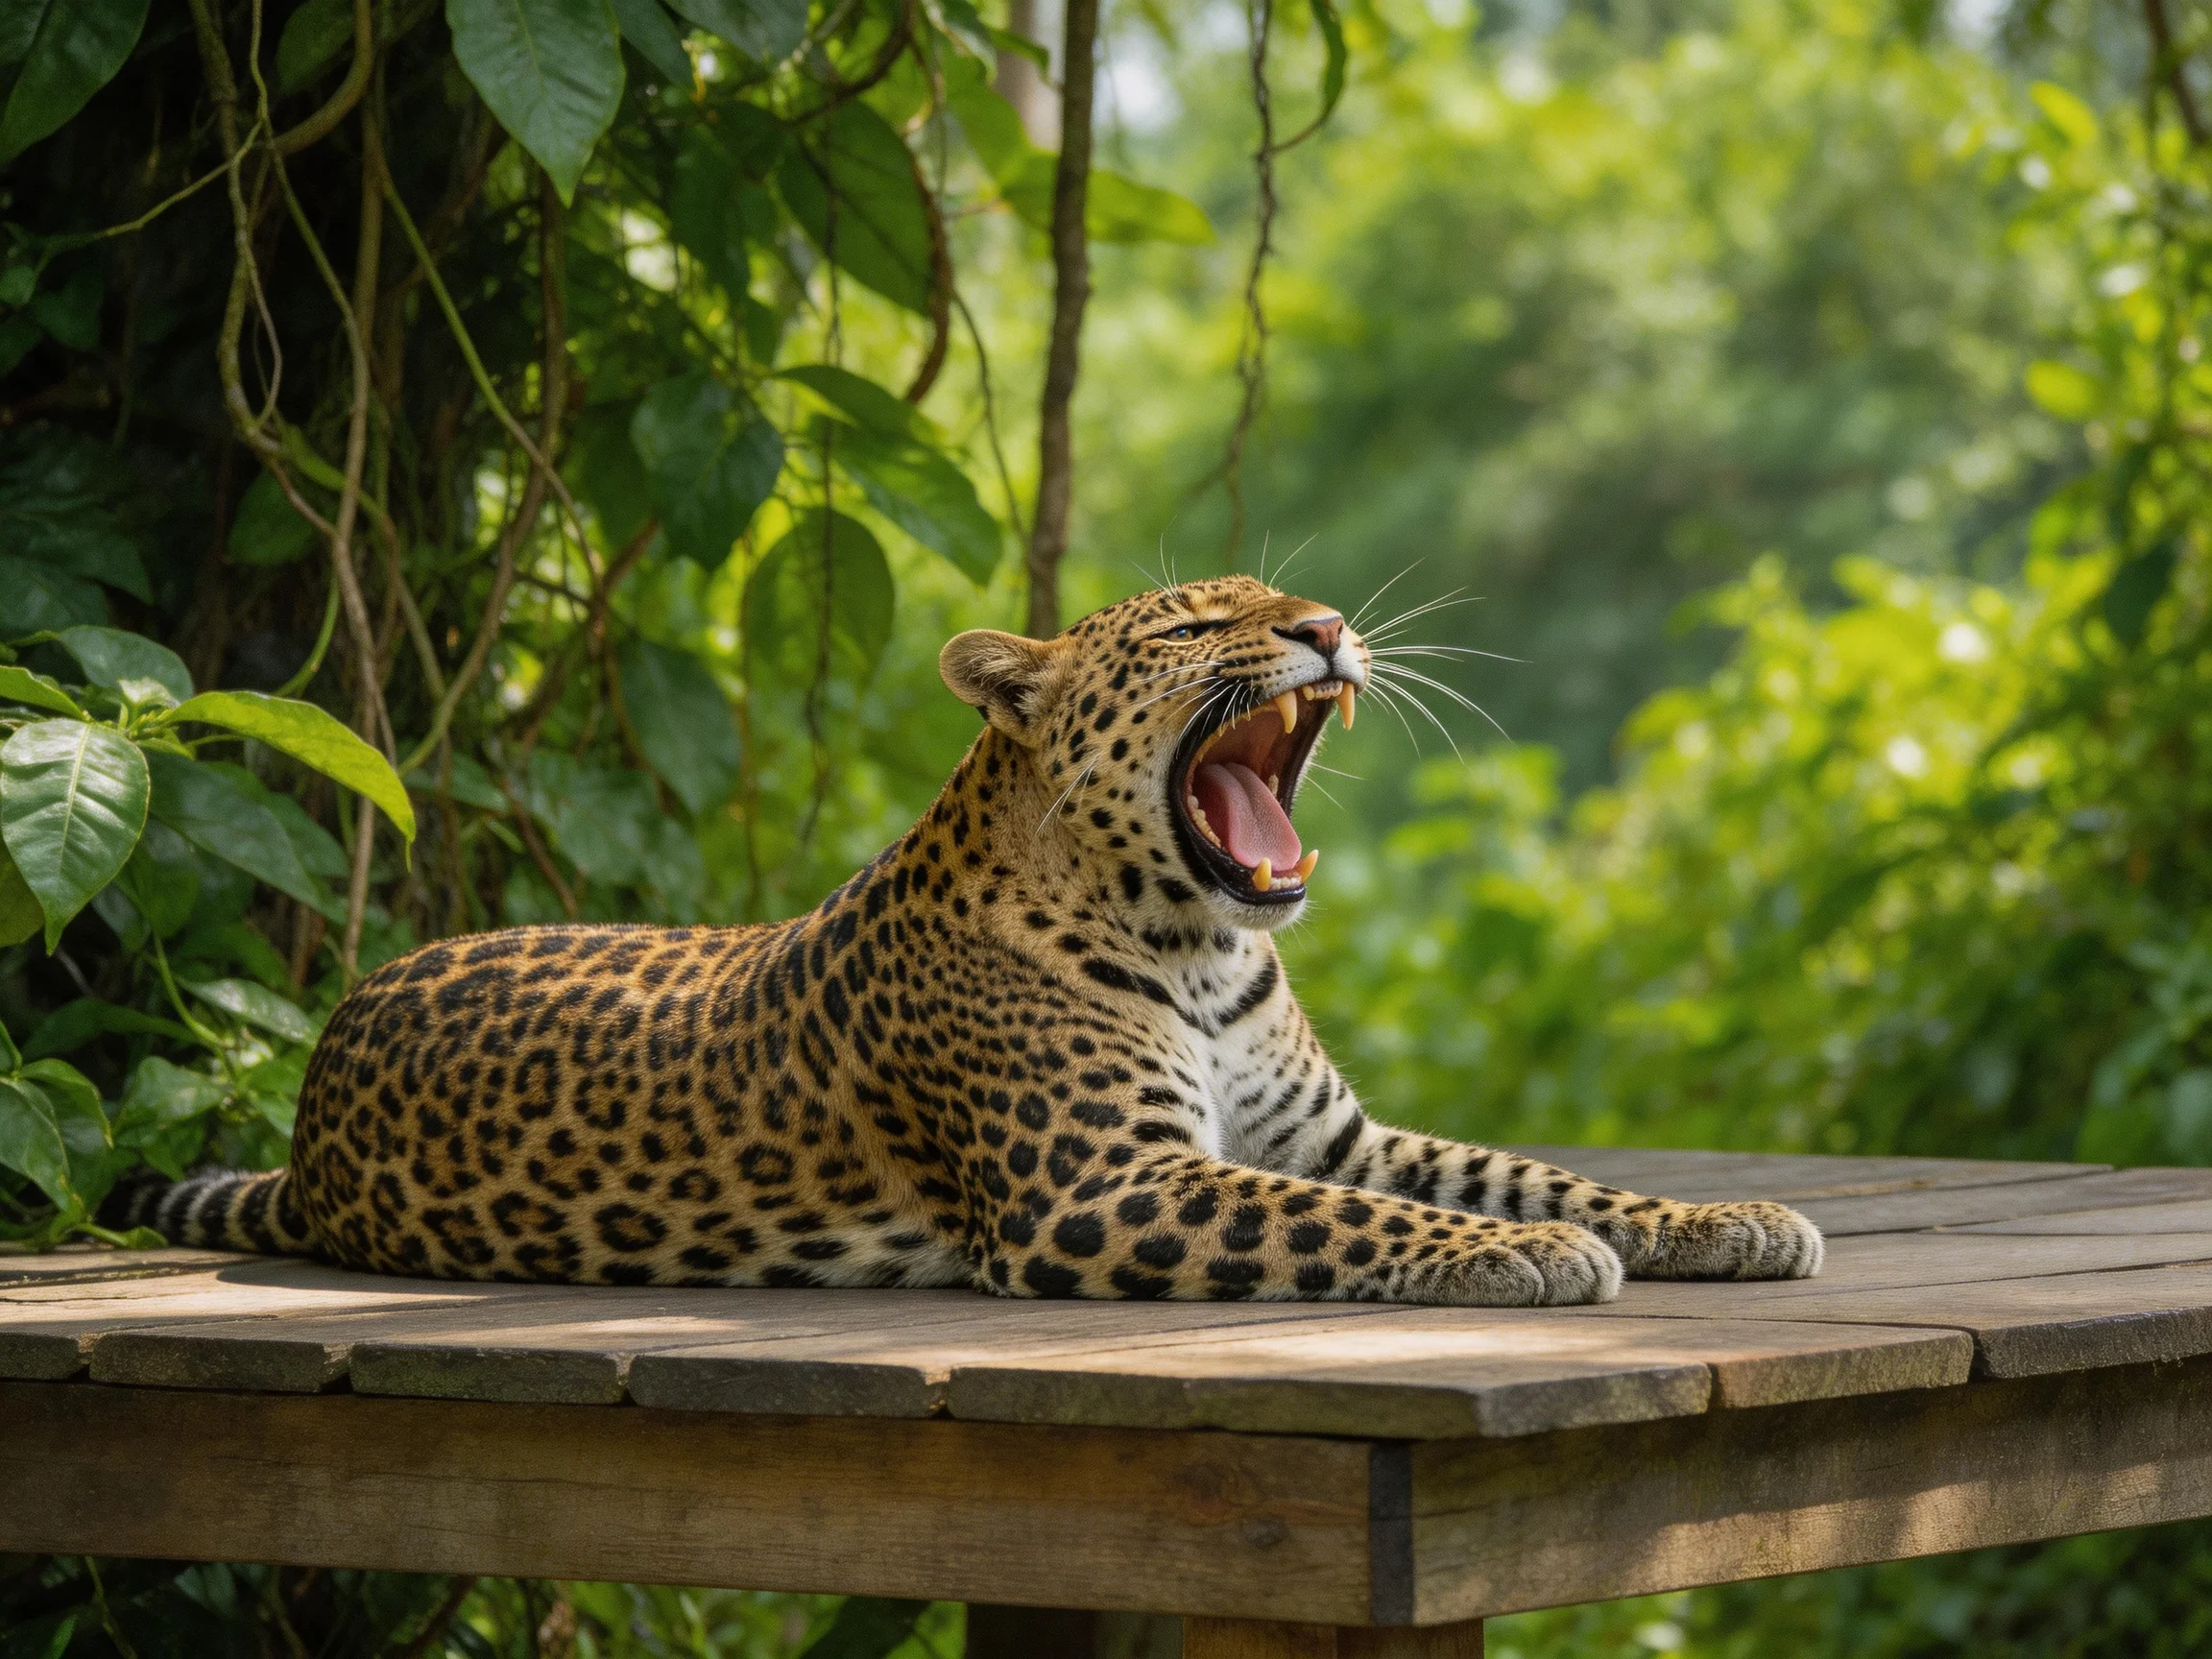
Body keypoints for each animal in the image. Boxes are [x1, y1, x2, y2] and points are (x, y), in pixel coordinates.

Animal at [118, 576, 1822, 1305]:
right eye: (1198, 627)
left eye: (1300, 601)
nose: (1329, 630)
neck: (1205, 946)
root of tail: (319, 1098)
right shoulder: (1103, 1189)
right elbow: (1357, 1224)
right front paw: (1522, 1257)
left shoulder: (1334, 1135)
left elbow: (1518, 1169)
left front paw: (1715, 1220)